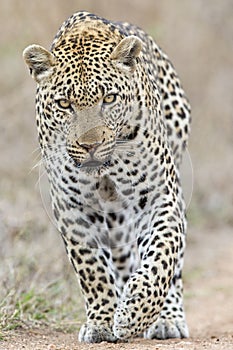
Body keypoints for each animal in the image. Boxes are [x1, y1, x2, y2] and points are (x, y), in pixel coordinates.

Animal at [23, 11, 191, 344]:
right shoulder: (72, 208)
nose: (90, 145)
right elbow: (92, 269)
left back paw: (167, 319)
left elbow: (162, 256)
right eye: (65, 104)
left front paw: (134, 312)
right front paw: (101, 322)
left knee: (173, 265)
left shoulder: (159, 196)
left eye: (109, 98)